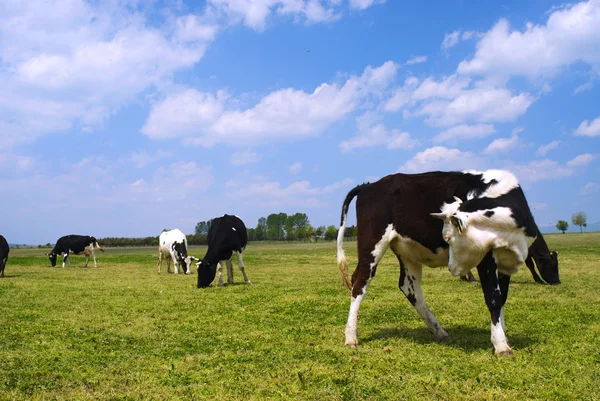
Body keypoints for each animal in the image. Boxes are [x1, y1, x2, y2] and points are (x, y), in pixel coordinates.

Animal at [338, 168, 544, 354]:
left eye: (449, 237)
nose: (452, 268)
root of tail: (369, 186)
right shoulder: (486, 258)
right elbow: (493, 298)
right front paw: (501, 345)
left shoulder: (505, 262)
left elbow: (502, 298)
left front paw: (503, 337)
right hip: (372, 244)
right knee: (360, 281)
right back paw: (350, 336)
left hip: (407, 250)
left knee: (409, 288)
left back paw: (439, 331)